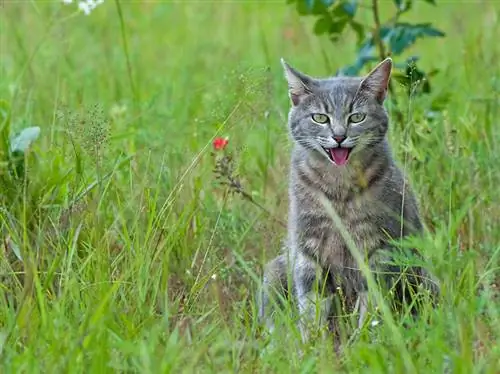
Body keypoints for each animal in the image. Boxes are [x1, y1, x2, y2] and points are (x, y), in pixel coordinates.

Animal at [260, 57, 440, 344]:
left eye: (356, 117)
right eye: (320, 118)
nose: (339, 136)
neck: (339, 188)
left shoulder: (378, 250)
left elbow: (372, 308)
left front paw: (365, 341)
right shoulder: (308, 251)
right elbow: (311, 308)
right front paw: (312, 346)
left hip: (424, 279)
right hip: (275, 272)